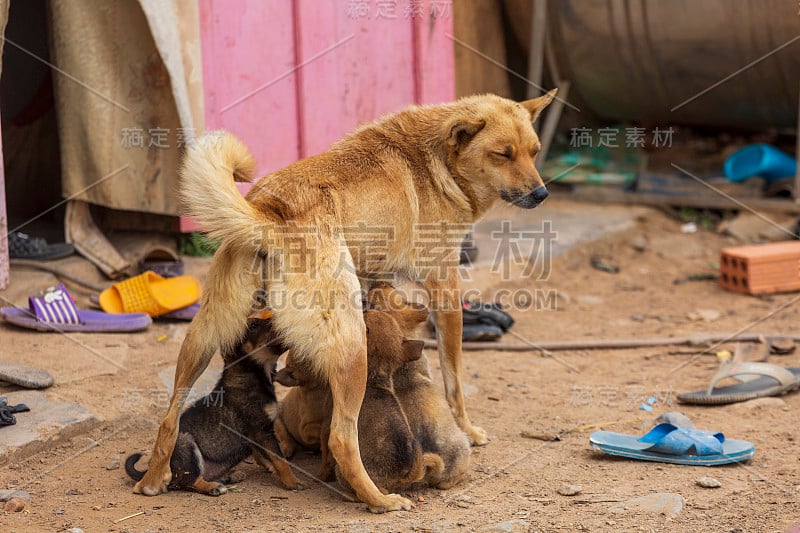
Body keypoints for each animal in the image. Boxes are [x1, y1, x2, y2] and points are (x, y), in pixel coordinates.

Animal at [133, 90, 556, 512]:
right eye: (502, 154)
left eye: (534, 152)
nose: (542, 194)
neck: (435, 160)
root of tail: (270, 217)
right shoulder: (446, 295)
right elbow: (454, 383)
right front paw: (468, 431)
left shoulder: (377, 282)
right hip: (353, 349)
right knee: (340, 437)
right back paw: (379, 500)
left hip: (204, 337)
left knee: (170, 416)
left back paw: (154, 480)